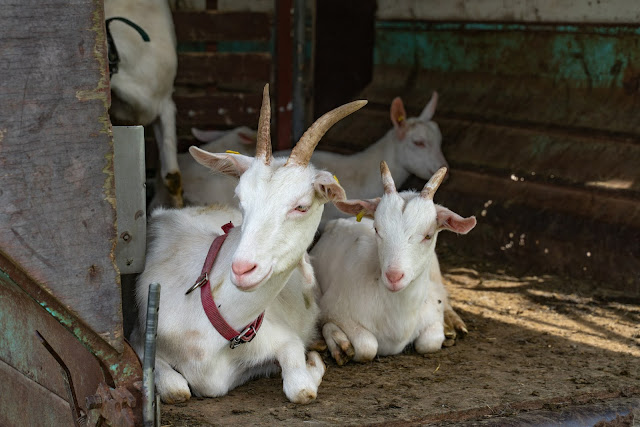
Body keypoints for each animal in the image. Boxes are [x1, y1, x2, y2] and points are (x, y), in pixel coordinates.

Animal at [131, 86, 364, 404]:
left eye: (301, 206)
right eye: (241, 198)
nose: (242, 269)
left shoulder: (282, 337)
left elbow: (301, 389)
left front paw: (313, 360)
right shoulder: (138, 339)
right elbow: (177, 390)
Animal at [310, 164, 476, 364]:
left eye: (428, 235)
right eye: (376, 229)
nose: (394, 276)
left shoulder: (432, 313)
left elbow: (430, 342)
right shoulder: (332, 307)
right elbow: (367, 347)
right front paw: (338, 342)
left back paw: (454, 325)